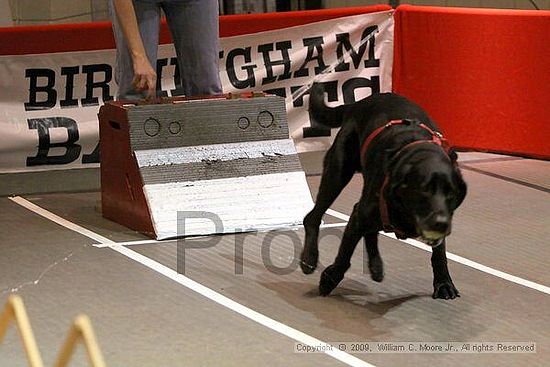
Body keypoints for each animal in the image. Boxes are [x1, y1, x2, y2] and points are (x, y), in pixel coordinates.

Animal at [304, 84, 468, 302]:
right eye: (424, 189)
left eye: (451, 193)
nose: (440, 222)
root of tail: (359, 103)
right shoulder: (359, 215)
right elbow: (345, 254)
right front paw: (330, 279)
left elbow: (439, 253)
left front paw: (444, 284)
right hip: (338, 170)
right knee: (313, 217)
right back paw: (309, 259)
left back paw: (375, 266)